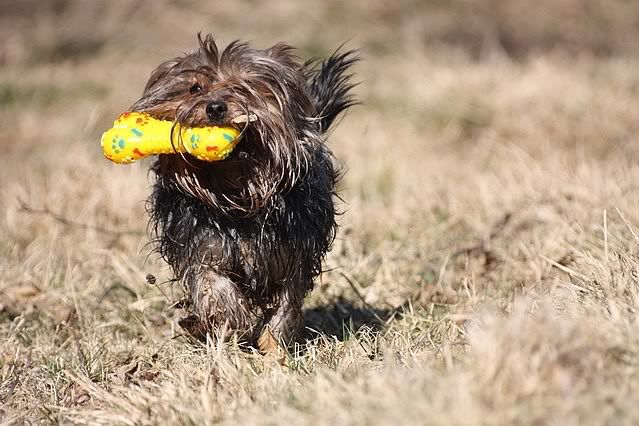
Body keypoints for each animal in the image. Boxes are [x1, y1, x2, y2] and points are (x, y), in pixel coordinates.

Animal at [129, 34, 358, 352]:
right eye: (195, 87)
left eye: (245, 85)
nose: (215, 107)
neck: (239, 192)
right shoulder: (200, 245)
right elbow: (211, 283)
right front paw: (234, 320)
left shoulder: (295, 249)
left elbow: (288, 299)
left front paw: (273, 345)